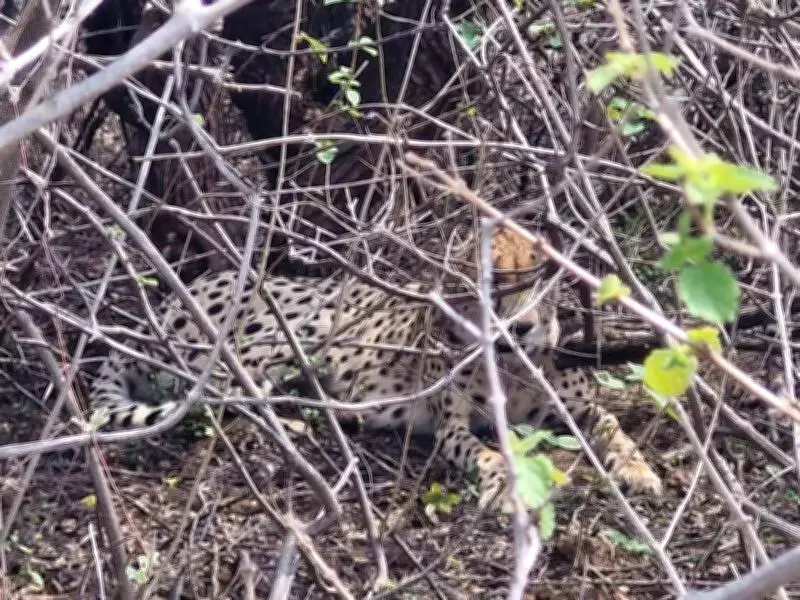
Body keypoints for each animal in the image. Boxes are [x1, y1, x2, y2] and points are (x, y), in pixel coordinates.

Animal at [89, 228, 662, 511]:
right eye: (492, 281)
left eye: (539, 278)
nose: (520, 327)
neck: (512, 364)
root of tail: (164, 303)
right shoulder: (455, 426)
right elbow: (486, 452)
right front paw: (506, 483)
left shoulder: (574, 407)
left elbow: (614, 426)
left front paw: (638, 469)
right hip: (288, 332)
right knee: (228, 400)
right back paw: (299, 418)